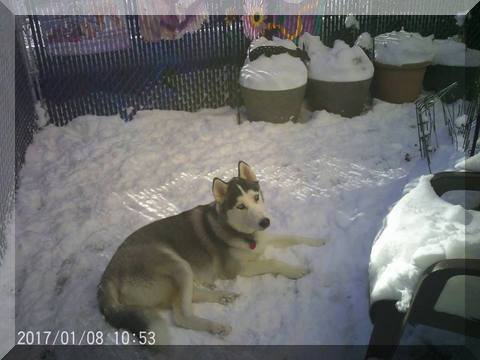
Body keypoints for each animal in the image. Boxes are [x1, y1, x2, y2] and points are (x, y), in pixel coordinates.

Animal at [99, 161, 328, 344]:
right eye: (240, 206)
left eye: (256, 197)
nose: (265, 222)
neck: (244, 234)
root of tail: (107, 276)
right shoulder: (236, 269)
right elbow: (272, 262)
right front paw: (296, 270)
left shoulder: (264, 239)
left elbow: (293, 237)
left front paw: (319, 240)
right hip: (177, 264)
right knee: (181, 315)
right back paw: (216, 325)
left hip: (179, 275)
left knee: (185, 299)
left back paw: (223, 295)